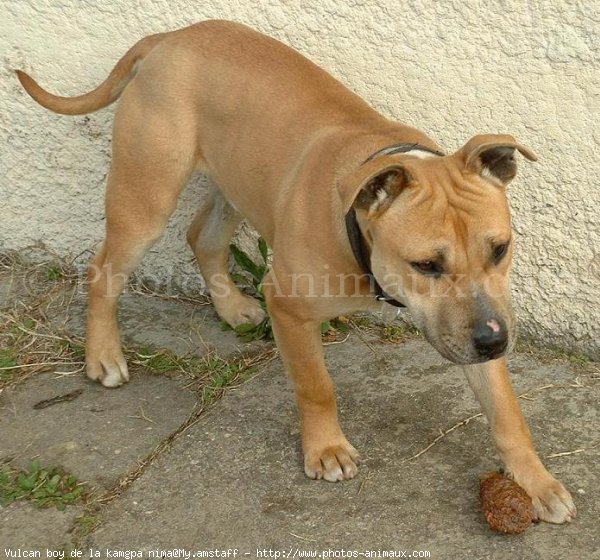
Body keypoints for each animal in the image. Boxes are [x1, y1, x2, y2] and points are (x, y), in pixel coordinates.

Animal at [16, 19, 576, 524]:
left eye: (500, 249)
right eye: (426, 265)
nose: (494, 341)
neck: (359, 226)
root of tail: (168, 37)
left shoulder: (475, 324)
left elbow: (506, 410)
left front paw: (535, 480)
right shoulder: (288, 304)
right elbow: (316, 384)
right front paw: (326, 449)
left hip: (235, 182)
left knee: (203, 237)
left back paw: (231, 307)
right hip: (146, 197)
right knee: (103, 271)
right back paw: (103, 355)